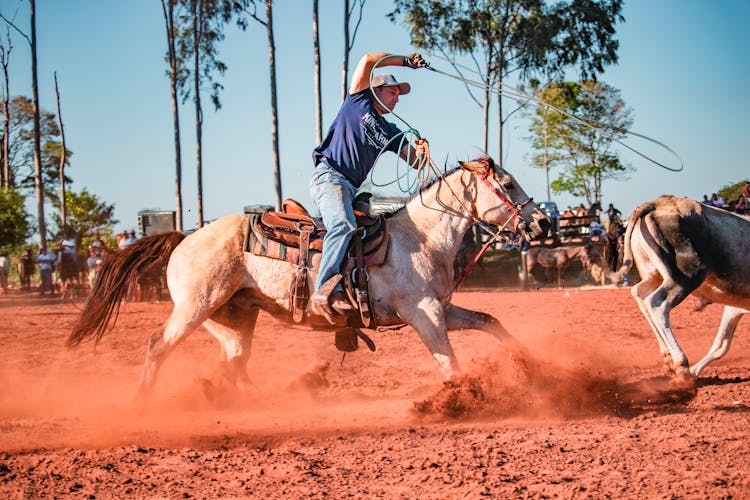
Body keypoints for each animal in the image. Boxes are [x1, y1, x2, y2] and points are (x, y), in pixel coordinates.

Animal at [70, 157, 548, 398]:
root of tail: (185, 237)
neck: (418, 237)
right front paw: (465, 399)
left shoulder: (441, 309)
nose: (543, 223)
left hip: (234, 319)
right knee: (158, 345)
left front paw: (534, 368)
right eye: (508, 183)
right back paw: (142, 402)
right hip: (195, 307)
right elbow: (450, 362)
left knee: (234, 365)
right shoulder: (424, 313)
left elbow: (489, 322)